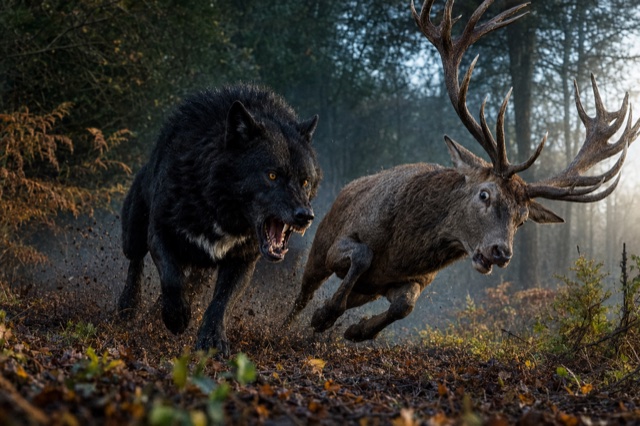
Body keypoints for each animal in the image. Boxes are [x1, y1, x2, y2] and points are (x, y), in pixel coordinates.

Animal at [283, 0, 640, 342]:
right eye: (484, 194)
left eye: (523, 219)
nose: (501, 252)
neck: (402, 248)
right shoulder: (343, 242)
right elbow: (361, 256)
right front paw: (324, 315)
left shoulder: (413, 279)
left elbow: (404, 306)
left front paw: (358, 330)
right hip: (319, 242)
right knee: (301, 295)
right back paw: (286, 323)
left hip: (362, 289)